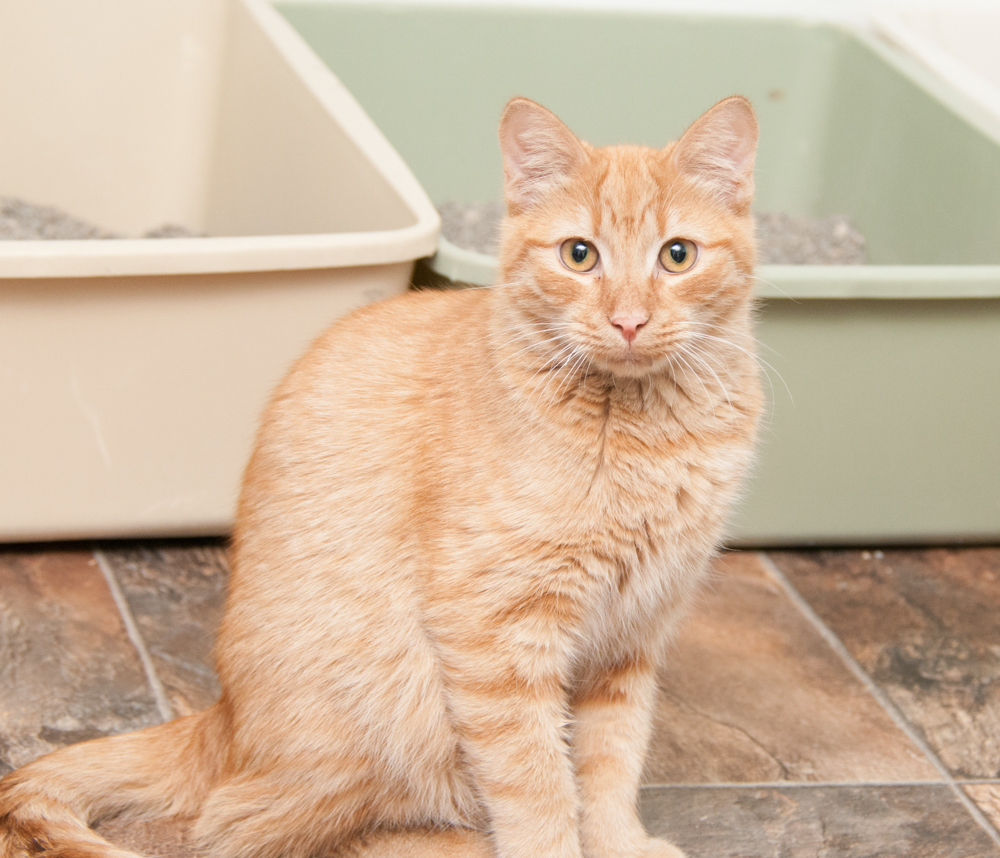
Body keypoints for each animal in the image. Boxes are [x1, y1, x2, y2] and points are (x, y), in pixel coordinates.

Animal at [0, 95, 756, 856]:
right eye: (580, 255)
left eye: (677, 255)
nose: (629, 320)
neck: (643, 435)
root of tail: (222, 717)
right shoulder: (498, 636)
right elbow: (538, 784)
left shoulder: (630, 639)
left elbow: (609, 761)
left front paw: (618, 841)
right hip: (389, 718)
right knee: (260, 828)